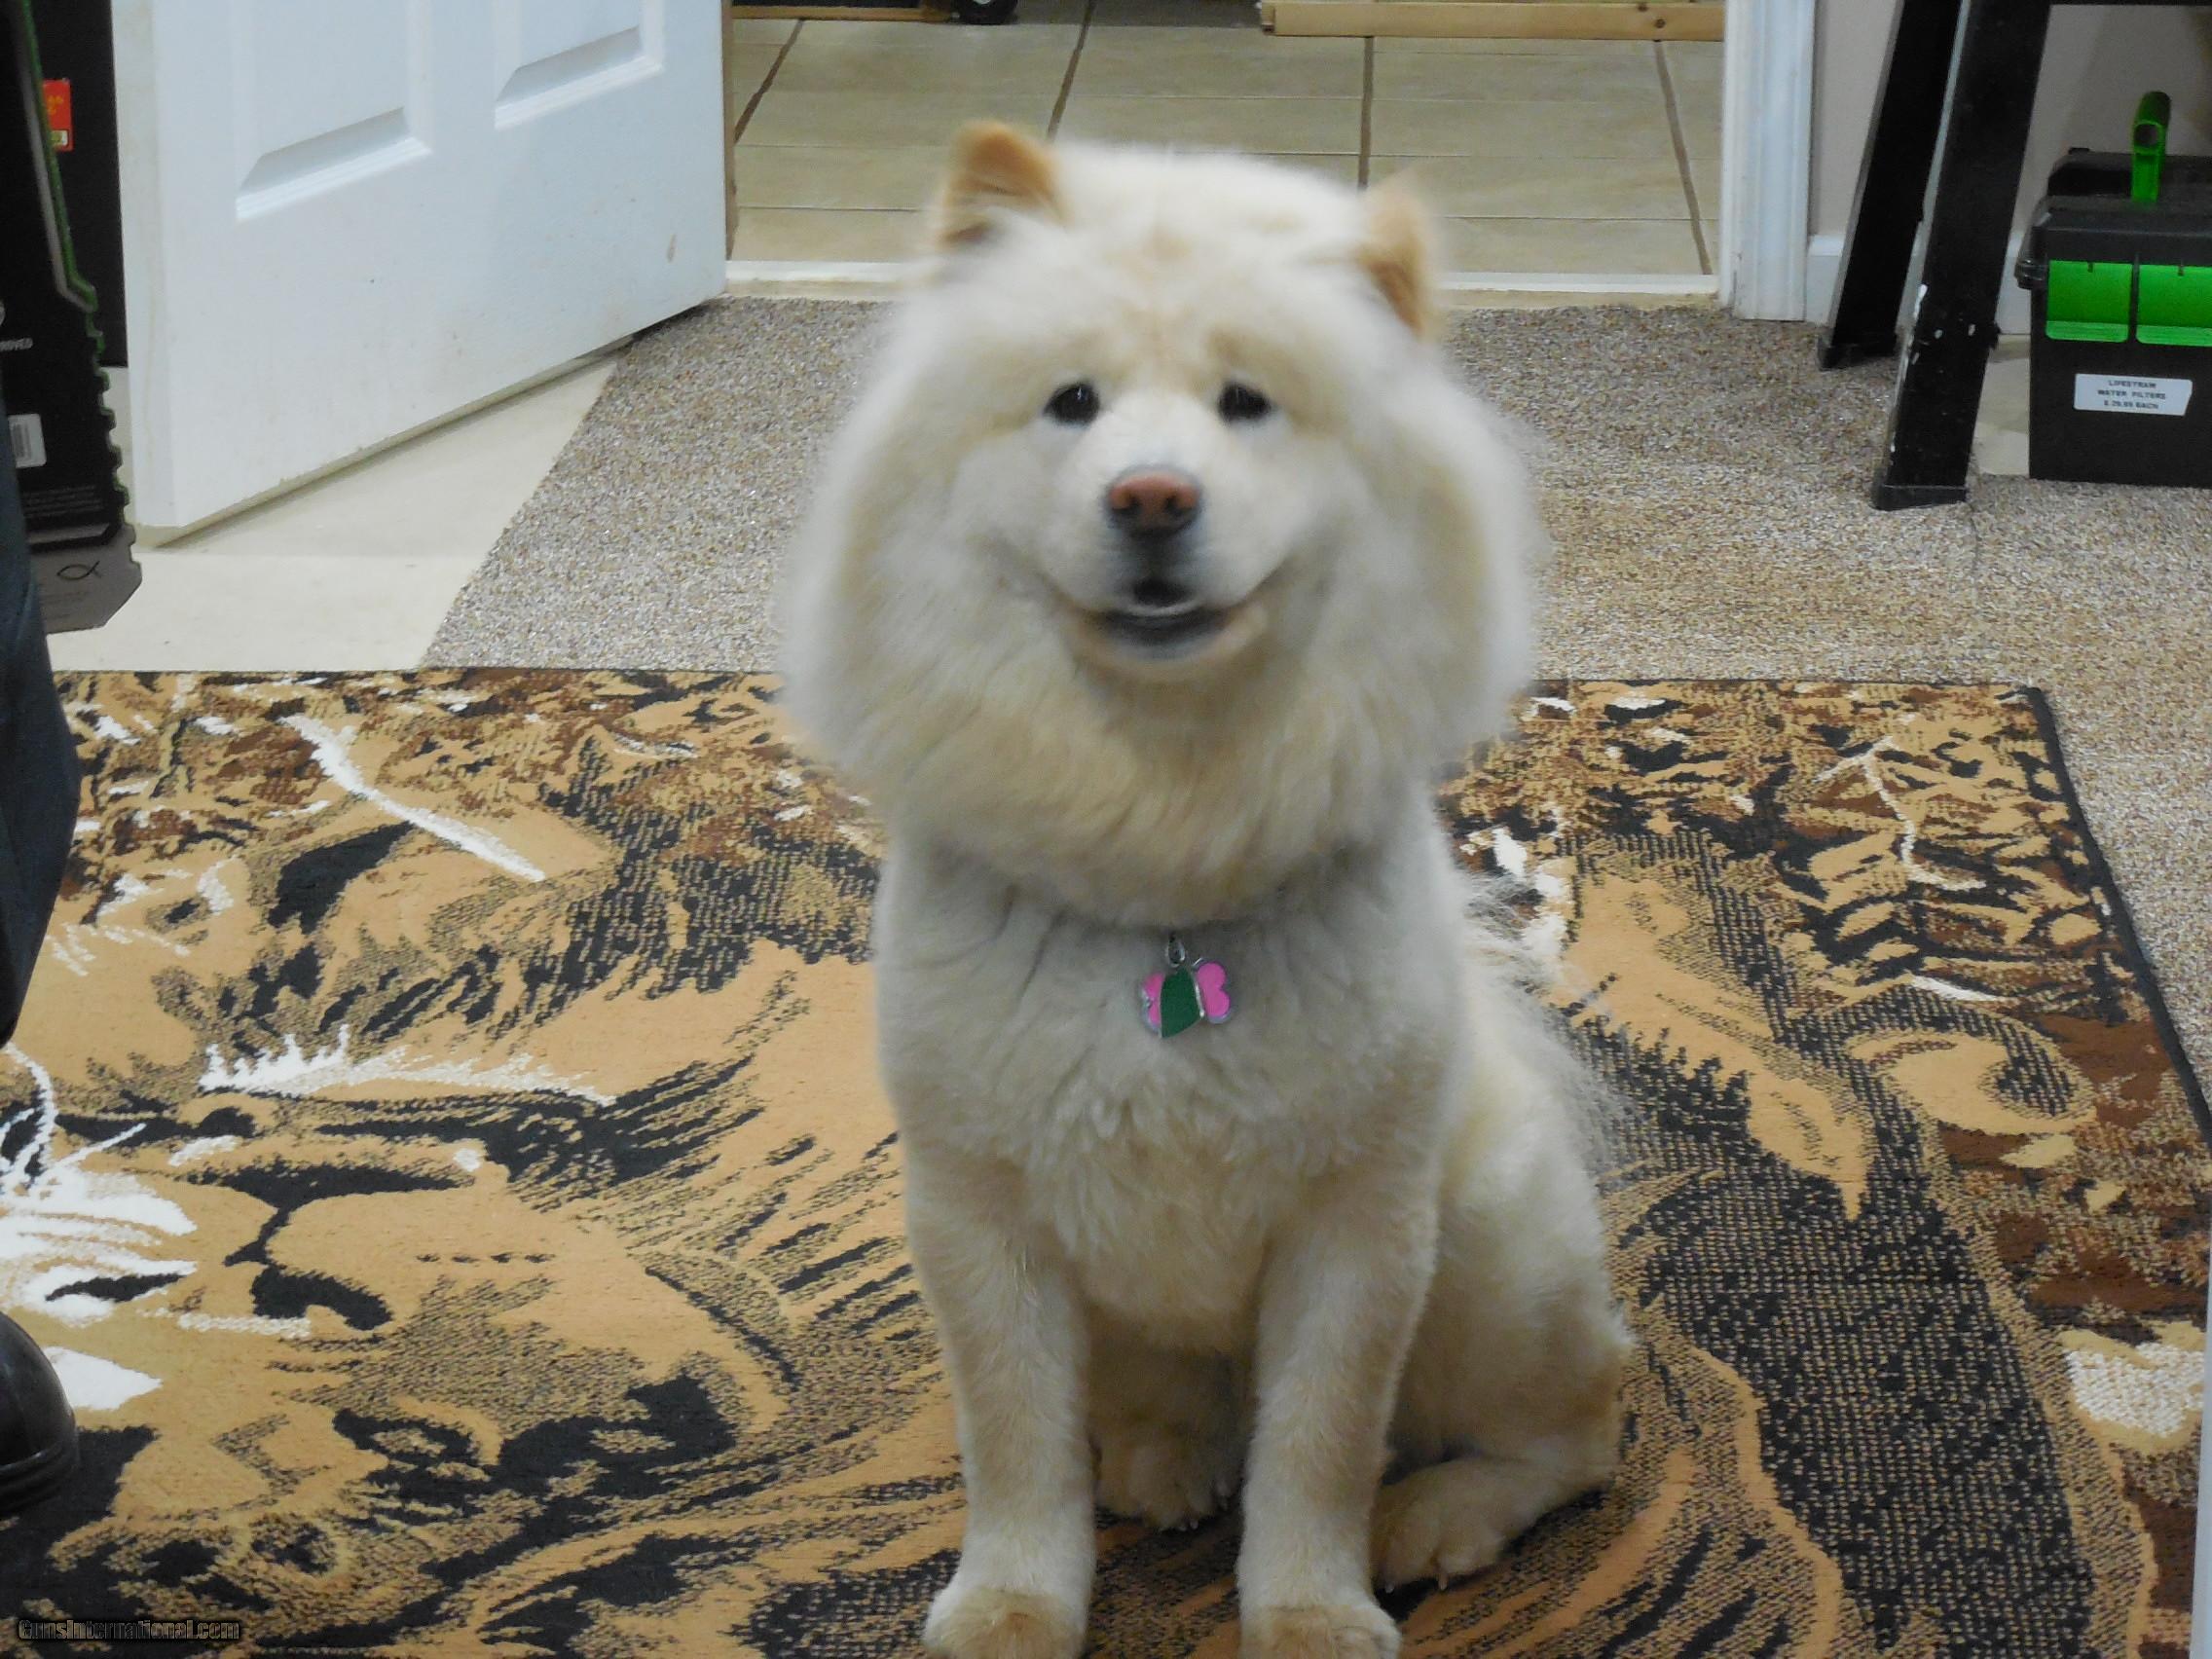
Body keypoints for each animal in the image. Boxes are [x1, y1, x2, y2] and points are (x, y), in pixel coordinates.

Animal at [779, 124, 1629, 1659]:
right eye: (1072, 404)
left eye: (1248, 405)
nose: (1153, 497)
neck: (1158, 874)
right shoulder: (981, 1220)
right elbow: (1017, 1449)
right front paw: (1012, 1609)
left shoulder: (1354, 1233)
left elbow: (1318, 1450)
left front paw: (1309, 1617)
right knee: (1165, 1410)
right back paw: (1165, 1464)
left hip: (1485, 1255)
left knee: (1574, 1428)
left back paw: (1437, 1519)